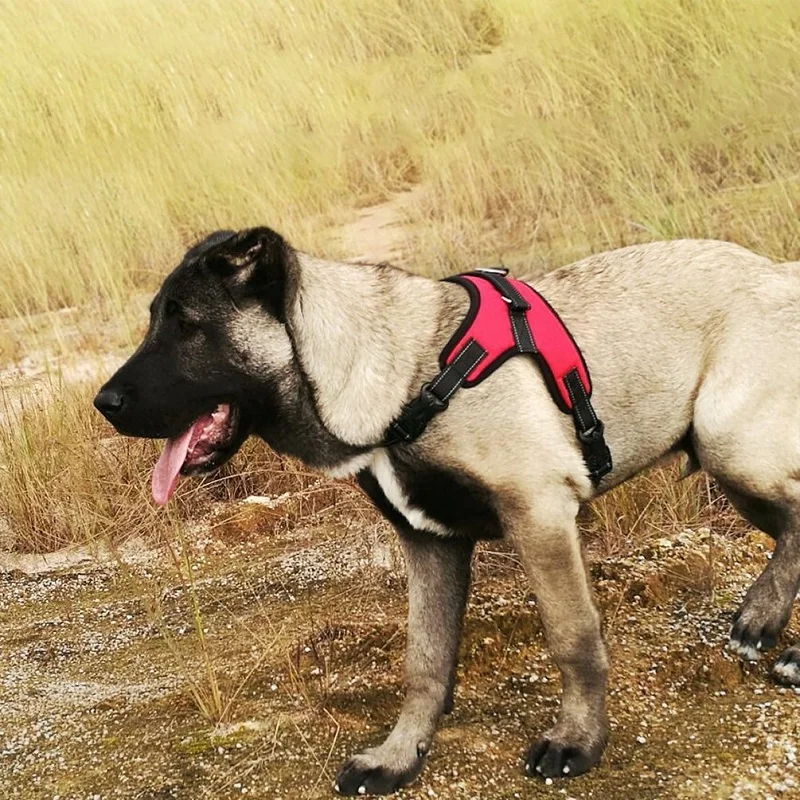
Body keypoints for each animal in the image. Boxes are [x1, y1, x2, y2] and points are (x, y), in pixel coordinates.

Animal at [95, 230, 800, 792]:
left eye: (186, 325)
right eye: (157, 319)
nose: (104, 404)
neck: (403, 378)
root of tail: (779, 271)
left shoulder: (539, 514)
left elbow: (572, 639)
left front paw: (578, 741)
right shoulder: (429, 541)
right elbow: (425, 663)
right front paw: (399, 755)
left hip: (728, 444)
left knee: (795, 518)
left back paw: (761, 618)